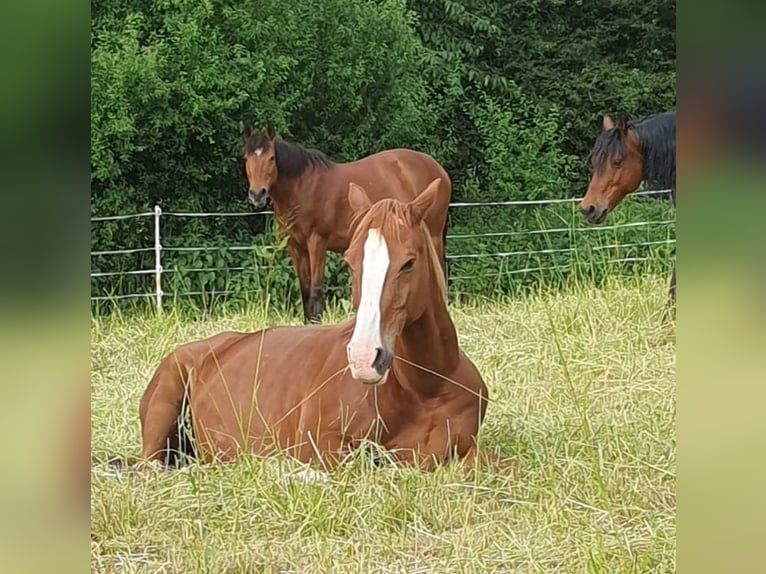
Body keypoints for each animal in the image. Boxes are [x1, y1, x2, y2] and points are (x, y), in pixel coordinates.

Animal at [242, 122, 452, 324]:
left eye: (271, 158)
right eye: (246, 158)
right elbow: (305, 289)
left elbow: (316, 289)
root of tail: (440, 170)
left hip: (433, 237)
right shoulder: (294, 245)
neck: (303, 188)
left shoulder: (317, 241)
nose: (257, 194)